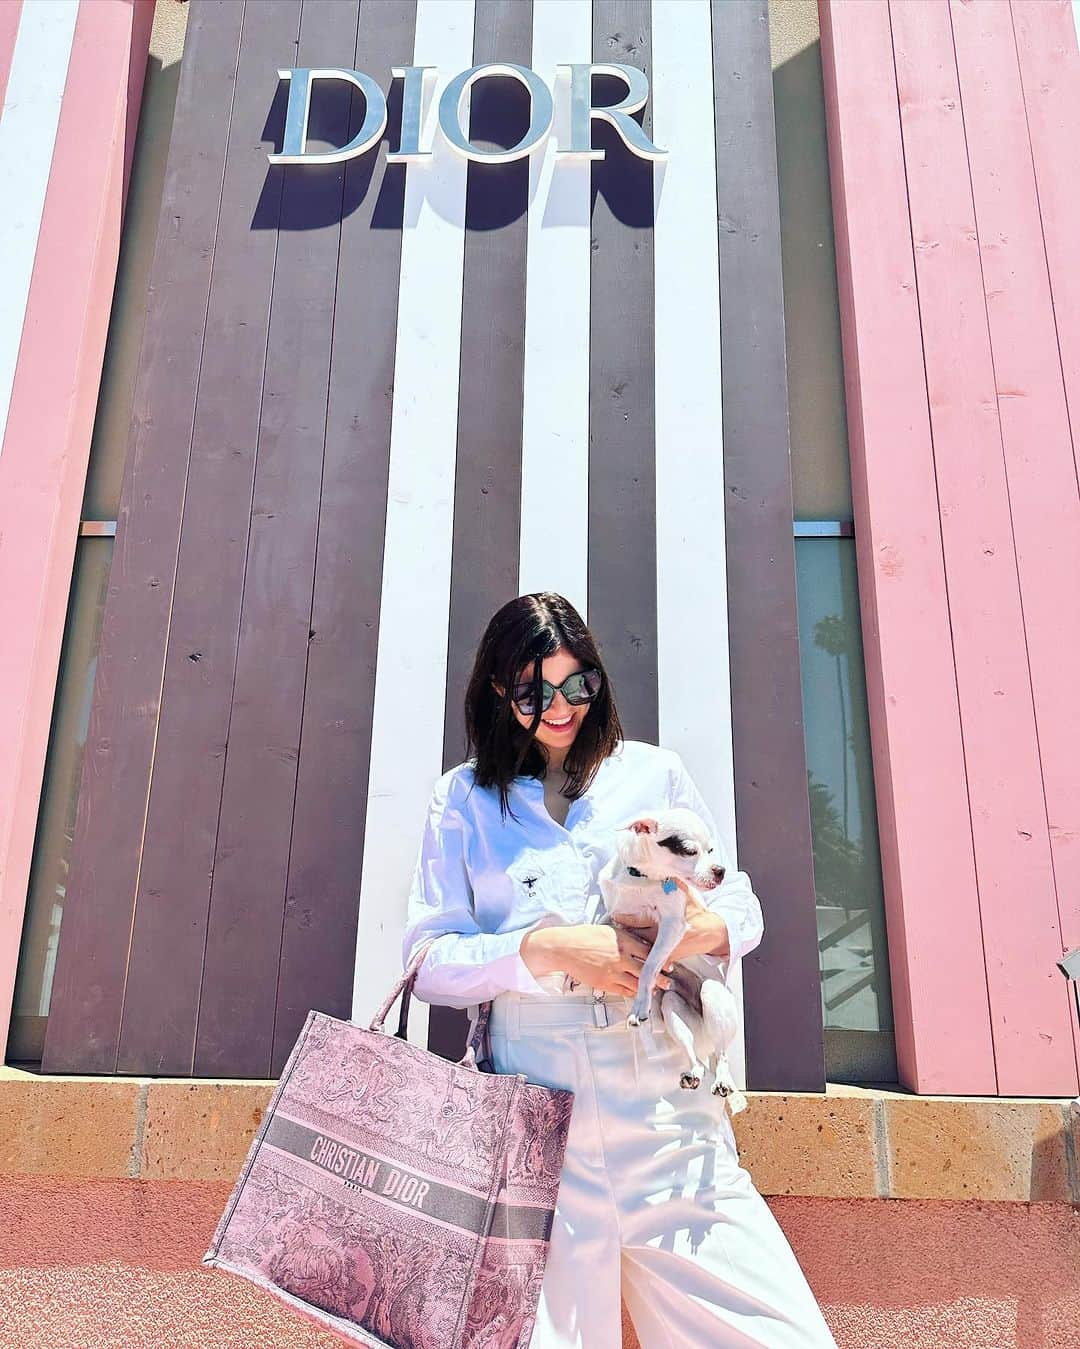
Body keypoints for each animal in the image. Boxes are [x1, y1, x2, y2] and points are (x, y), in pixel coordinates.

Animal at [593, 804, 744, 1111]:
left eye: (711, 850)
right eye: (689, 851)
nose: (720, 870)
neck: (640, 878)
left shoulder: (673, 925)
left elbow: (650, 965)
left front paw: (639, 1004)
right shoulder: (617, 916)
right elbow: (601, 924)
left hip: (713, 997)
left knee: (721, 1055)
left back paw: (723, 1080)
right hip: (672, 1008)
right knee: (698, 1060)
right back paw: (692, 1074)